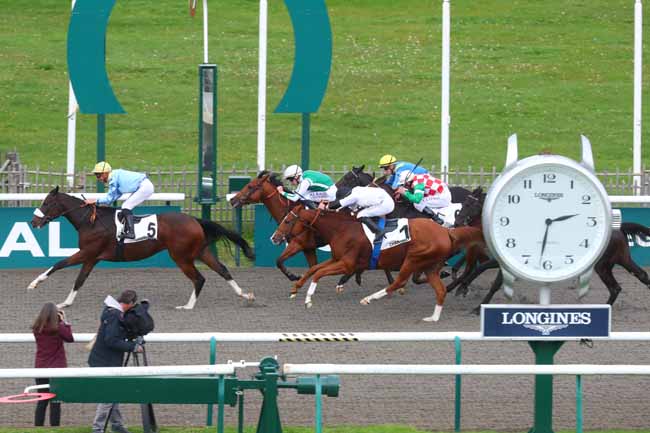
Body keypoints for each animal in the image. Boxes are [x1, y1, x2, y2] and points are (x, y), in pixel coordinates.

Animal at [29, 187, 253, 308]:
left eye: (47, 202)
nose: (33, 222)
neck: (90, 221)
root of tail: (194, 220)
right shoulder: (92, 257)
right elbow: (79, 280)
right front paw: (65, 303)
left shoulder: (87, 252)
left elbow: (59, 263)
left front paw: (34, 283)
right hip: (200, 251)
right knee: (222, 269)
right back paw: (244, 294)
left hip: (181, 256)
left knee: (199, 278)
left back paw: (187, 306)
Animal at [268, 203, 480, 320]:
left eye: (288, 221)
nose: (275, 237)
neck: (341, 229)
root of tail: (446, 231)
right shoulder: (337, 258)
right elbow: (314, 269)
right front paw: (295, 289)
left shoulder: (347, 264)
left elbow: (318, 272)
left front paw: (308, 299)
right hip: (430, 265)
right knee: (439, 289)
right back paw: (433, 317)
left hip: (414, 258)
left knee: (399, 282)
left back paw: (368, 298)